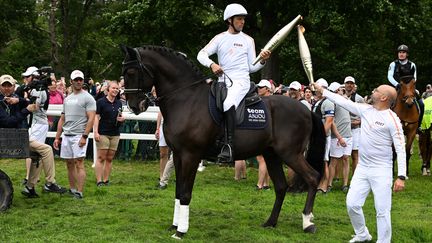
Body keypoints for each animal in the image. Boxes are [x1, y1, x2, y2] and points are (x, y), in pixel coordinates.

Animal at [120, 44, 326, 238]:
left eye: (131, 72)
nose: (134, 106)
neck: (186, 98)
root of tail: (306, 110)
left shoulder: (191, 156)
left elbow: (185, 193)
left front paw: (181, 231)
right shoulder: (178, 155)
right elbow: (178, 191)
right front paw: (175, 225)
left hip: (291, 154)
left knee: (312, 177)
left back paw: (308, 222)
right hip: (272, 155)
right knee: (282, 186)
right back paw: (270, 222)